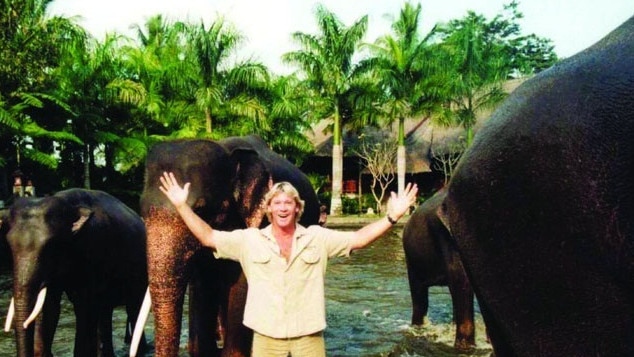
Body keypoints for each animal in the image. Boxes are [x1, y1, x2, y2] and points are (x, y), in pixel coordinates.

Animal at [0, 188, 148, 354]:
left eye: (51, 245)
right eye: (9, 245)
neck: (67, 203)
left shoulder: (95, 247)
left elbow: (84, 306)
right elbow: (49, 307)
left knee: (133, 308)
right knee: (106, 312)